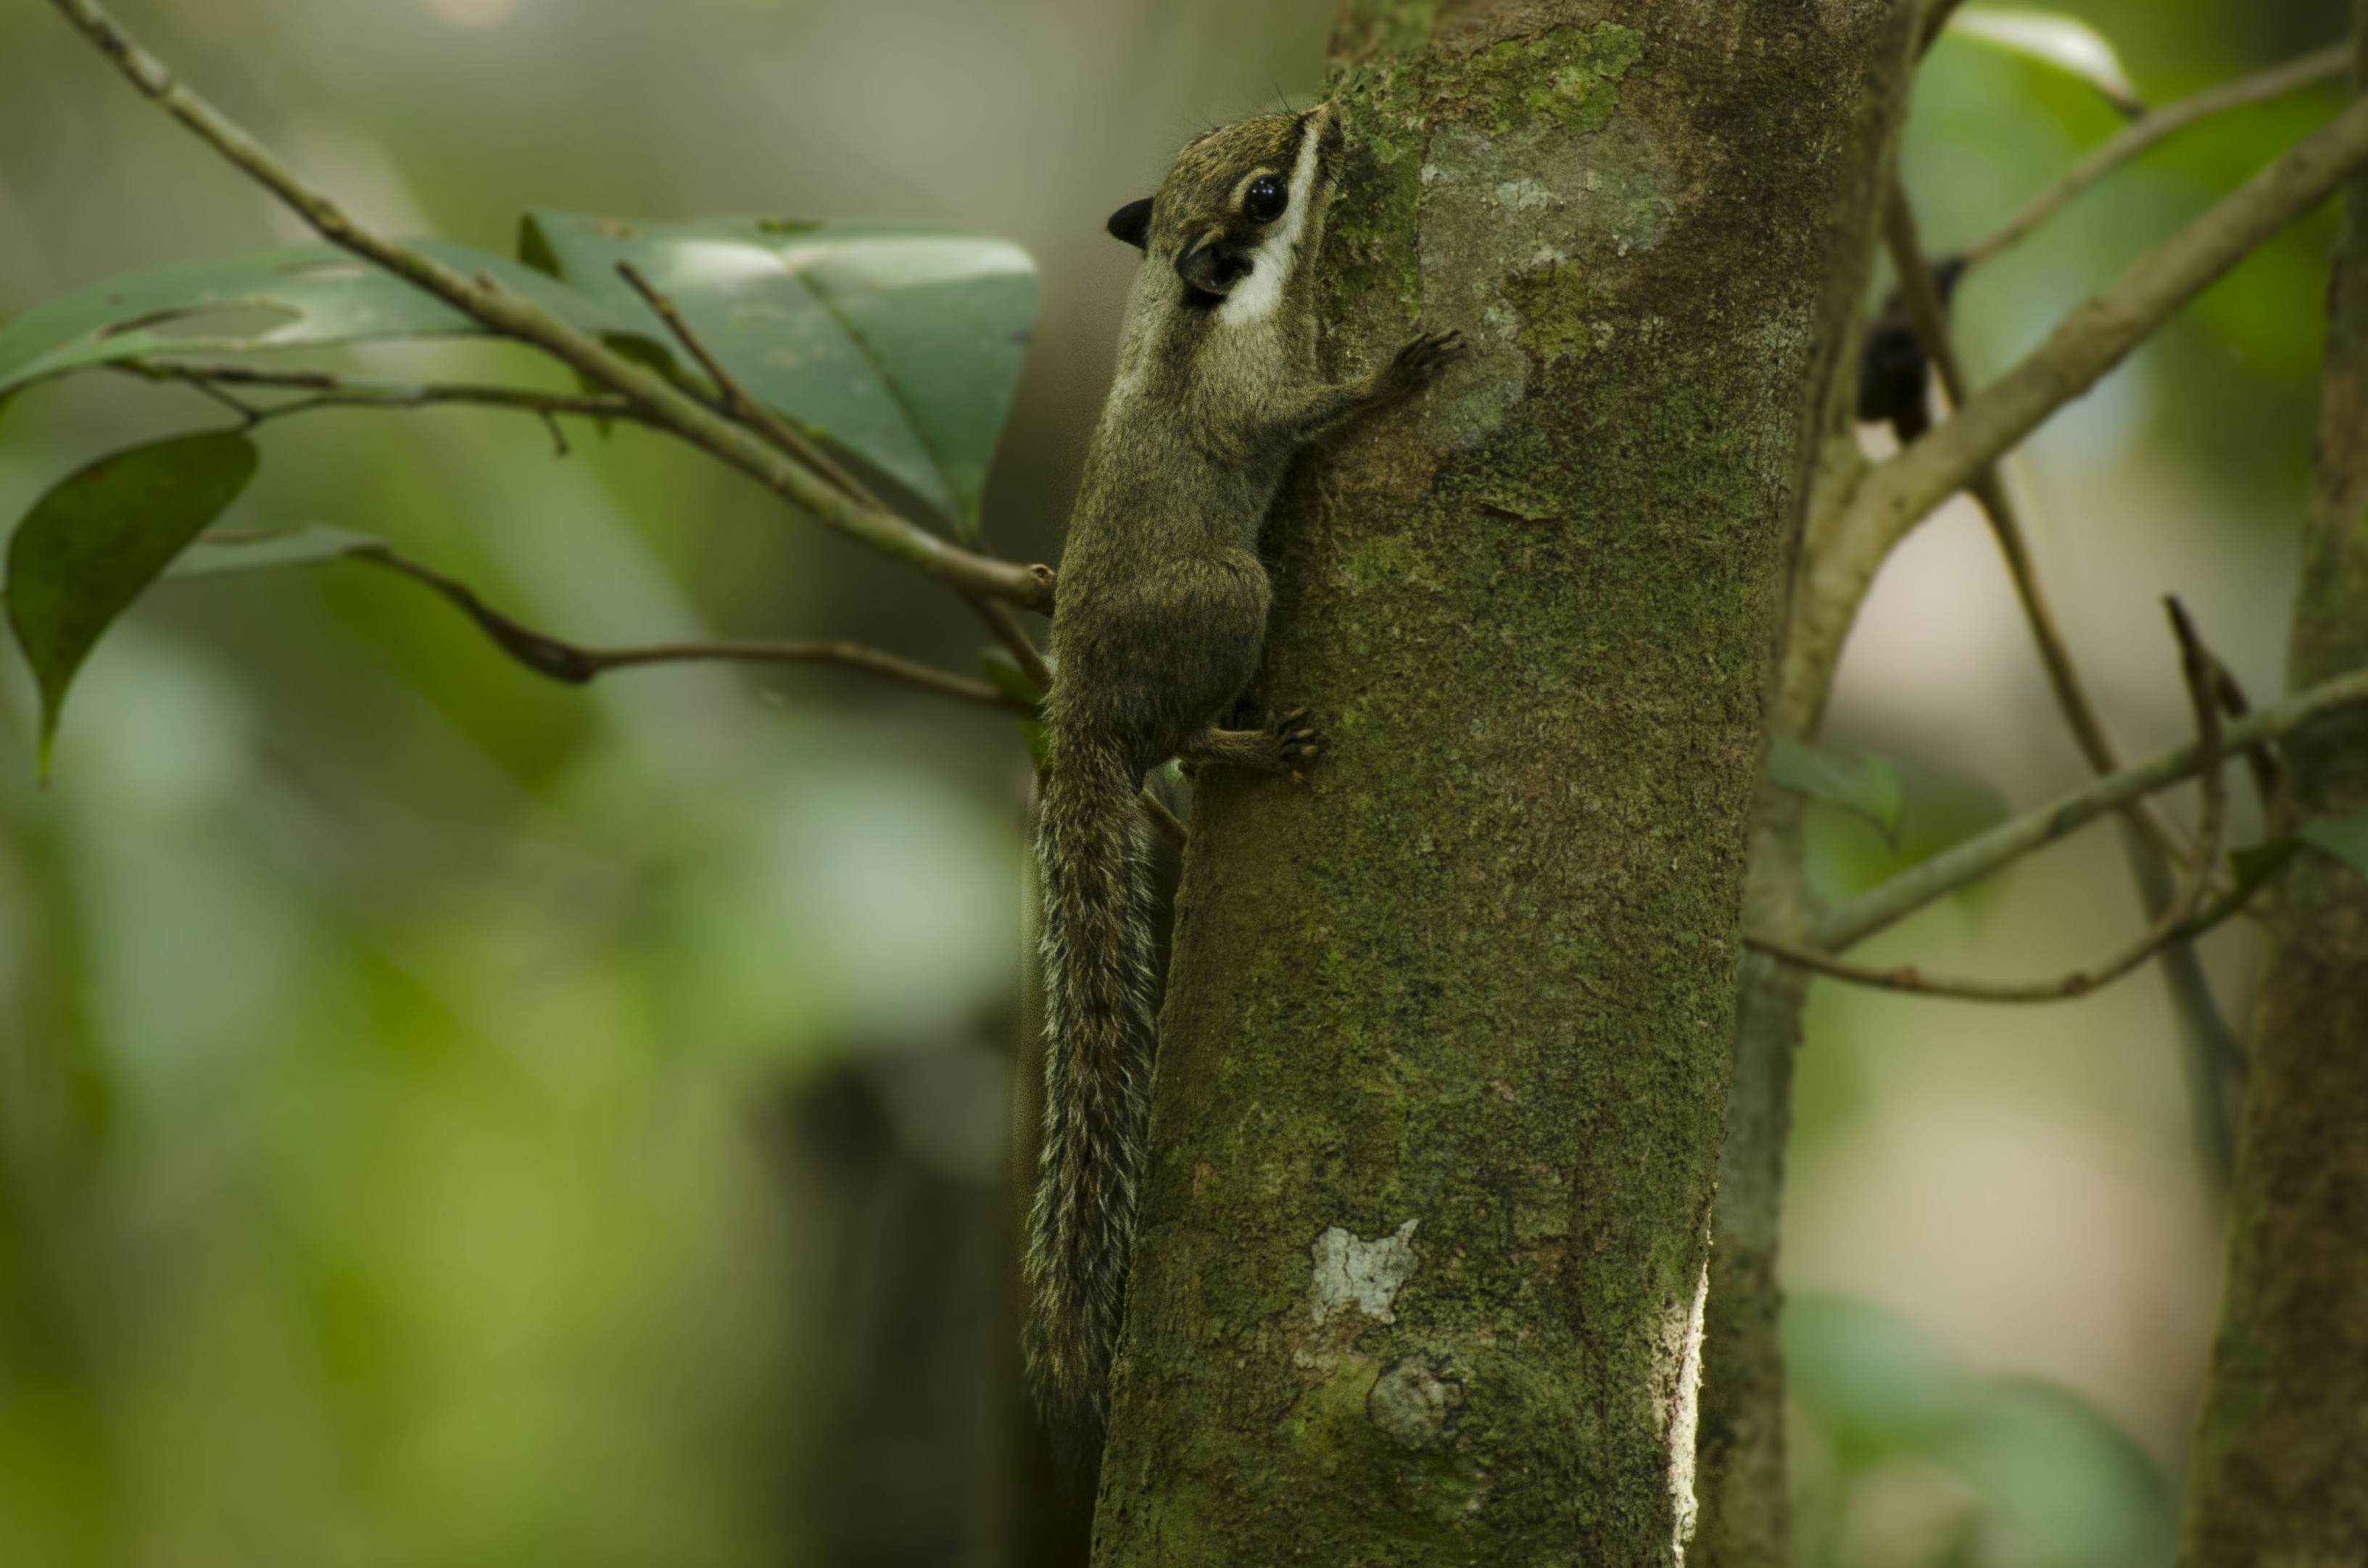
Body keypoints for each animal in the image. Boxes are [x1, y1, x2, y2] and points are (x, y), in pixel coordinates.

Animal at [1023, 99, 1464, 1470]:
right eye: (1266, 192)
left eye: (1246, 149)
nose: (1324, 112)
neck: (1193, 311)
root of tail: (1078, 715)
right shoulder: (1258, 398)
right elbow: (1306, 414)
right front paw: (1395, 376)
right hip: (1231, 591)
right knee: (1186, 735)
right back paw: (1250, 748)